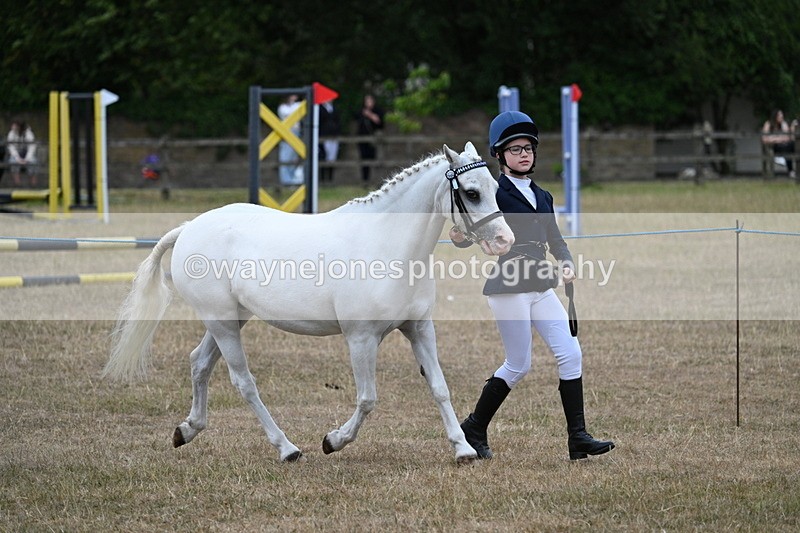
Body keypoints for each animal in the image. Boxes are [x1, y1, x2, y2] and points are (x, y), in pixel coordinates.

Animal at [103, 142, 514, 465]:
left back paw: (187, 430)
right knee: (243, 381)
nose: (504, 241)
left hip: (231, 319)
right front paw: (334, 441)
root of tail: (189, 228)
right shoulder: (361, 338)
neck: (387, 245)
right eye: (472, 193)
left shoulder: (418, 329)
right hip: (221, 322)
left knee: (199, 363)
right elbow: (367, 398)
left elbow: (440, 388)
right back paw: (286, 448)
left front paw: (463, 449)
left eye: (496, 187)